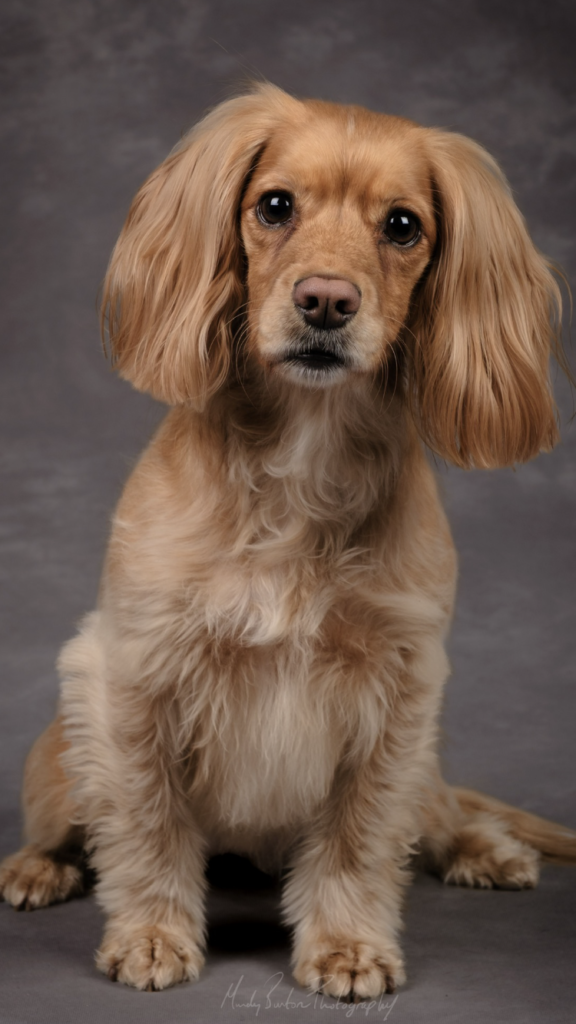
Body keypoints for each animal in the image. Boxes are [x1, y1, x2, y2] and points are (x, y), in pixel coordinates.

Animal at [1, 86, 573, 999]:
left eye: (403, 226)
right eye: (275, 205)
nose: (327, 301)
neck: (304, 461)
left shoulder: (399, 691)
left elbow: (360, 836)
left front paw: (346, 944)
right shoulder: (133, 671)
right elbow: (148, 820)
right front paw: (153, 935)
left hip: (428, 758)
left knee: (442, 812)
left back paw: (487, 851)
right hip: (60, 756)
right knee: (65, 825)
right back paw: (35, 866)